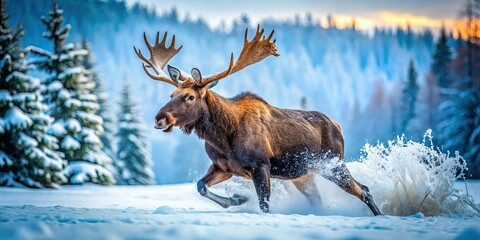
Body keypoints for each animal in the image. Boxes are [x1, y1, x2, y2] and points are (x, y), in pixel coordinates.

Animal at [134, 24, 382, 216]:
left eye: (190, 97)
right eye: (171, 95)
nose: (160, 119)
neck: (223, 138)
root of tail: (337, 125)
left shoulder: (261, 165)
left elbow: (264, 206)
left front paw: (242, 200)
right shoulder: (223, 167)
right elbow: (200, 186)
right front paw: (237, 199)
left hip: (332, 164)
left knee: (364, 189)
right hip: (304, 176)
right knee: (321, 198)